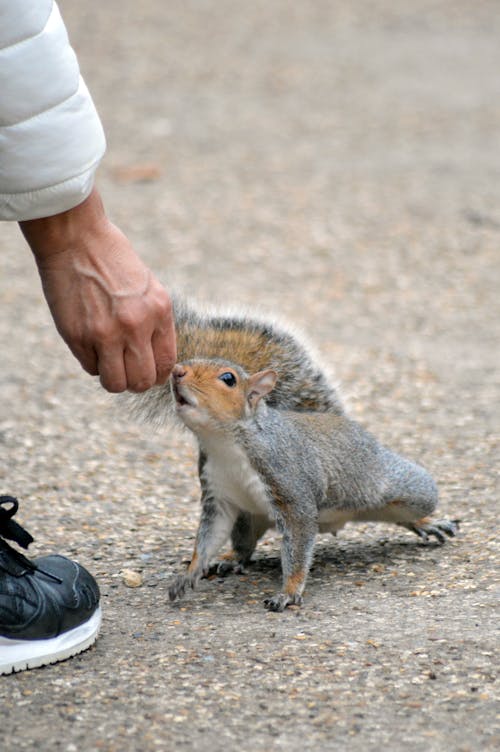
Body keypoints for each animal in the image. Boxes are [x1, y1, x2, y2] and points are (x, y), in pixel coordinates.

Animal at [164, 358, 458, 612]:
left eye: (228, 379)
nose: (176, 371)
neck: (223, 441)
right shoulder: (219, 497)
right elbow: (209, 536)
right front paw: (189, 573)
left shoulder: (291, 488)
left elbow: (297, 542)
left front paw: (289, 592)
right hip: (250, 516)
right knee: (244, 544)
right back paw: (231, 558)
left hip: (401, 490)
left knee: (410, 506)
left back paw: (426, 522)